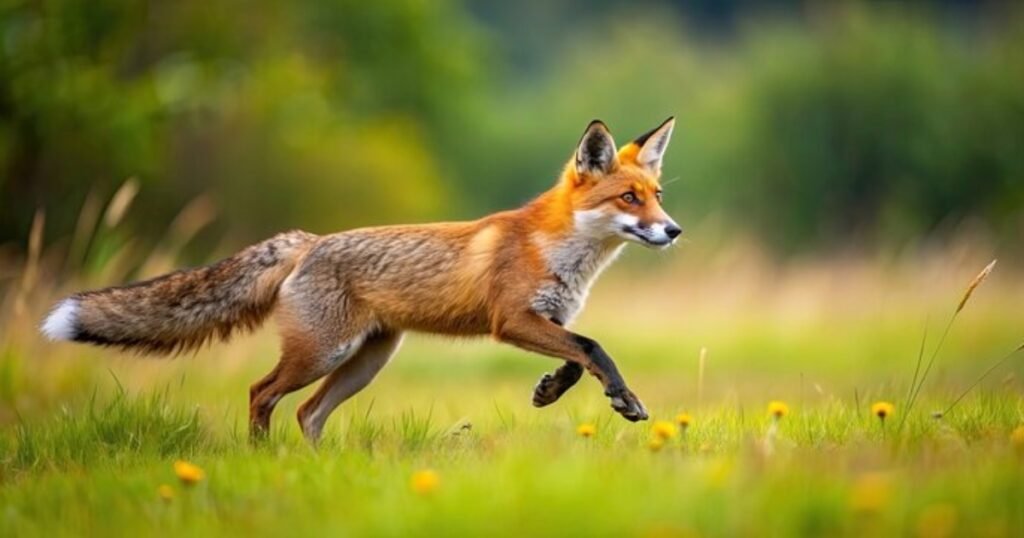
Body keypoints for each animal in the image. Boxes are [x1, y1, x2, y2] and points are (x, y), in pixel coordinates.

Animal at [41, 118, 682, 442]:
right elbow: (594, 348)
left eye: (656, 195)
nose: (673, 229)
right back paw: (263, 461)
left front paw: (551, 391)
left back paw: (313, 471)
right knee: (261, 394)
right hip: (322, 353)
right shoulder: (511, 321)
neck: (560, 251)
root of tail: (308, 241)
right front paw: (623, 398)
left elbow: (577, 357)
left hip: (365, 362)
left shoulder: (547, 319)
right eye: (628, 199)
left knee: (308, 414)